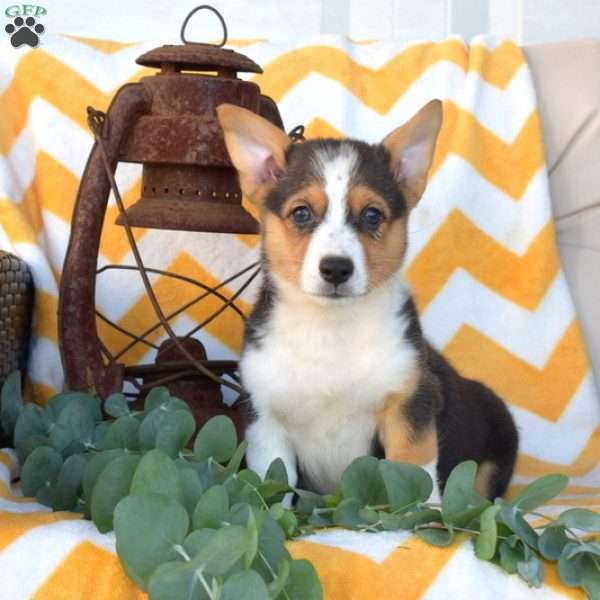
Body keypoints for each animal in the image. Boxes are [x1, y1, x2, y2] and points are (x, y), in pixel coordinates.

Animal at [218, 101, 516, 500]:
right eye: (301, 213)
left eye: (372, 215)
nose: (336, 269)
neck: (330, 326)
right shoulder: (265, 419)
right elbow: (273, 482)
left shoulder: (410, 403)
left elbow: (415, 473)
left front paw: (426, 512)